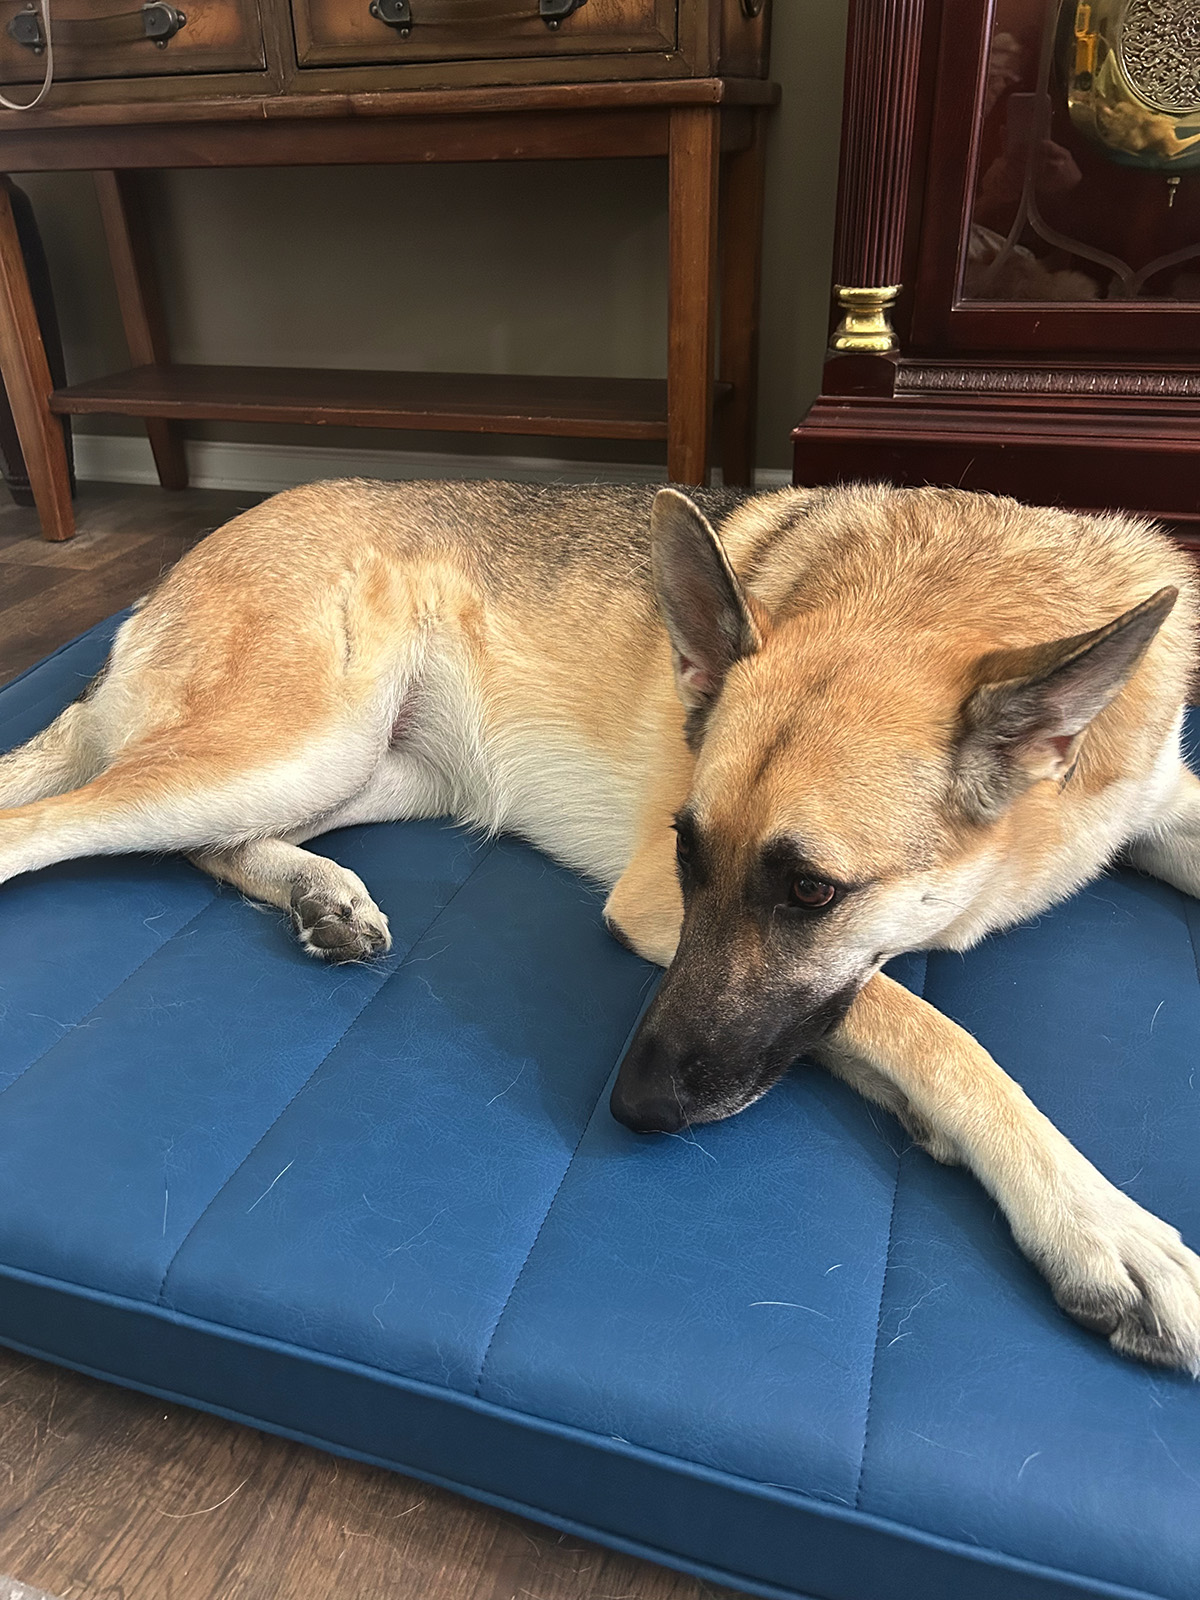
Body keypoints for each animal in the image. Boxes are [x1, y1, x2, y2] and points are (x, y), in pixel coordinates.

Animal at [2, 480, 1200, 1369]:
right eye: (685, 852)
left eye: (811, 894)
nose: (630, 1108)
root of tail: (172, 574)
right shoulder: (658, 909)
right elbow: (933, 1029)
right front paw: (1100, 1224)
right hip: (290, 742)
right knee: (46, 825)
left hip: (369, 773)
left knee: (209, 845)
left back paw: (319, 892)